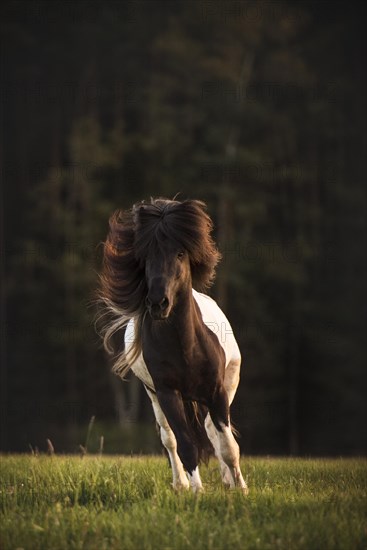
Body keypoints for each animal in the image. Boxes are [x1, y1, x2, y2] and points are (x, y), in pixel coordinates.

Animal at [98, 198, 247, 496]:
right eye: (146, 258)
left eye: (179, 254)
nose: (158, 303)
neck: (186, 346)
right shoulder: (168, 393)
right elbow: (185, 444)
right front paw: (197, 492)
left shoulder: (216, 391)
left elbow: (228, 446)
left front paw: (242, 489)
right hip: (154, 395)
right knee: (171, 439)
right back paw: (180, 484)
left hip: (228, 384)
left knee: (214, 431)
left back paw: (229, 480)